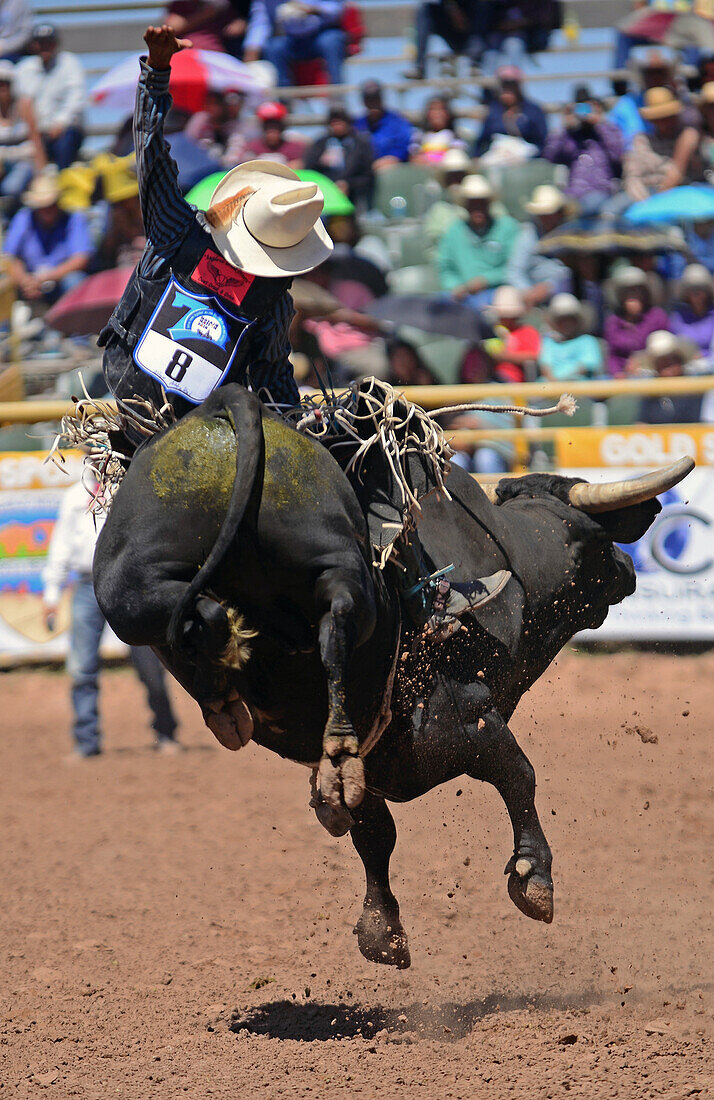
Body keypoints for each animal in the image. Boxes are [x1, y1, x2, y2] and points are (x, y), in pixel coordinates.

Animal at [91, 387, 695, 972]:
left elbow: (375, 832)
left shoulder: (385, 758)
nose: (630, 569)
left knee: (183, 611)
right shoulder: (469, 716)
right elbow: (519, 776)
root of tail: (226, 408)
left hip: (131, 575)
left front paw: (381, 926)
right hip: (334, 560)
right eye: (601, 542)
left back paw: (227, 685)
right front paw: (533, 877)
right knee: (334, 618)